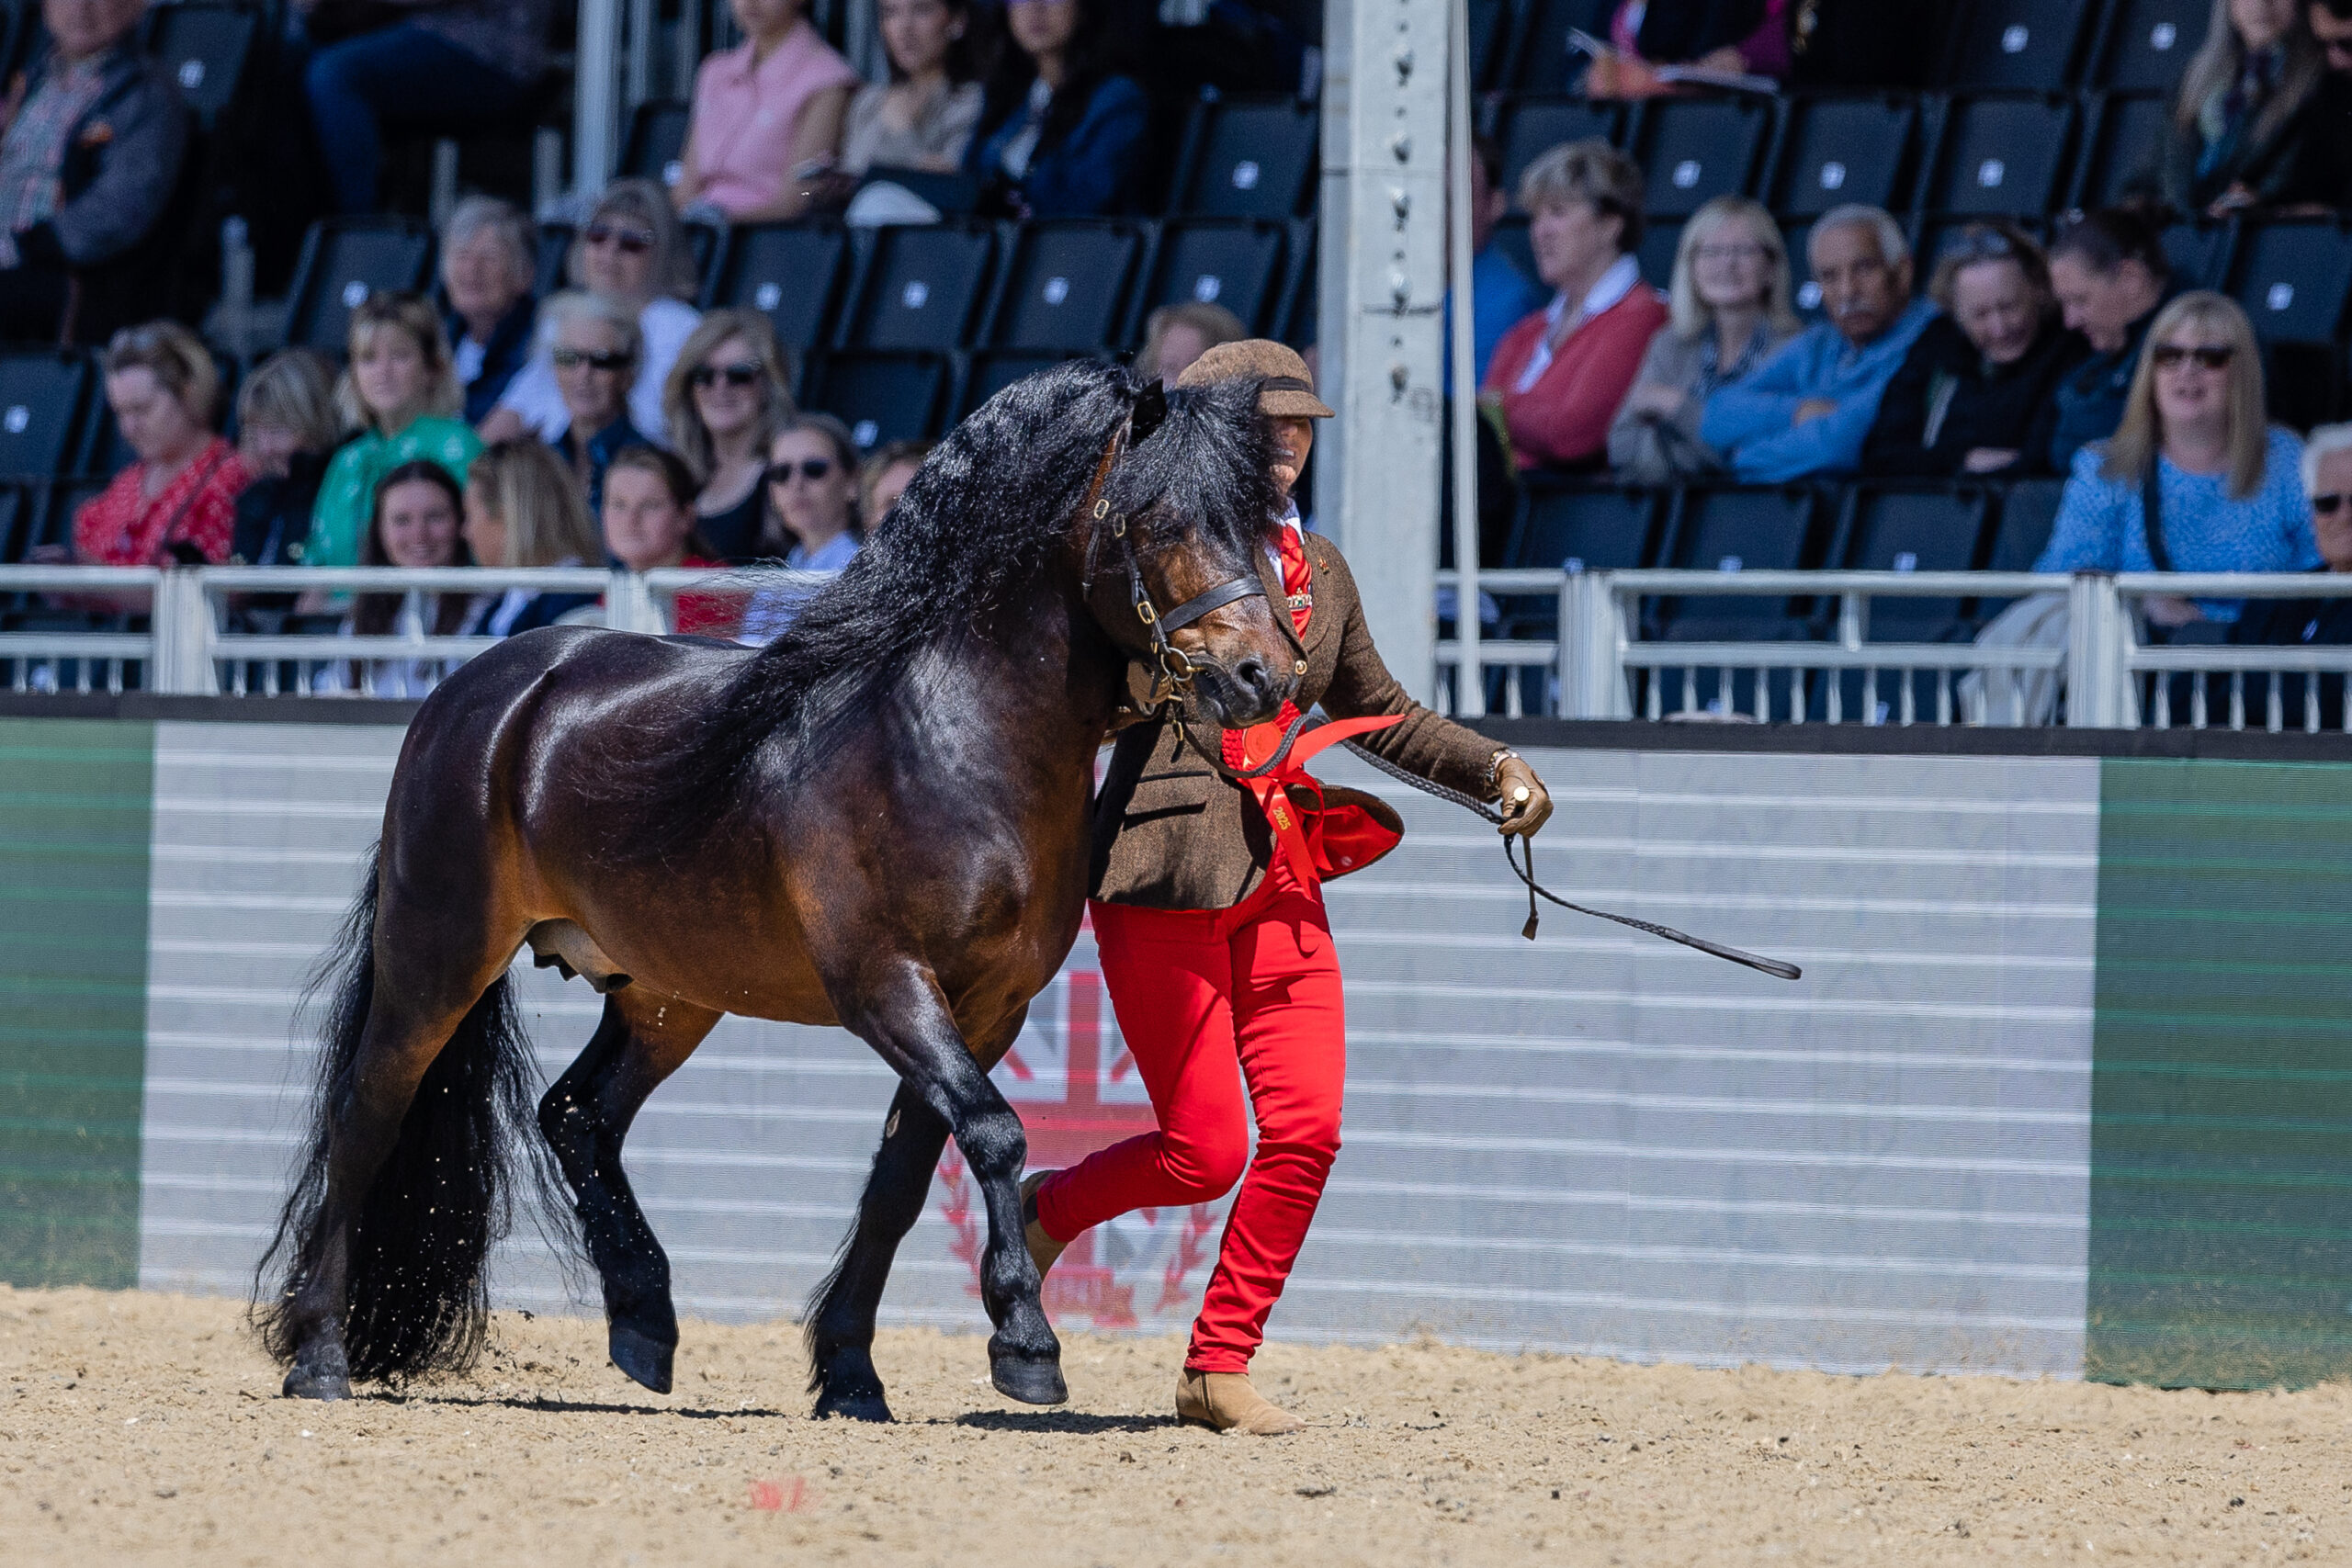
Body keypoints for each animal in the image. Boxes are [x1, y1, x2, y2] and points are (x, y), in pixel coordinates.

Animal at [254, 361, 1300, 1419]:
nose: (1264, 676)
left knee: (577, 1115)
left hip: (667, 994)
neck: (950, 740)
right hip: (440, 956)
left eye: (1261, 521)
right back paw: (320, 1355)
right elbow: (997, 1133)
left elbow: (904, 1180)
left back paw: (644, 1320)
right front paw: (1025, 1341)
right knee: (367, 1115)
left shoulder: (988, 1007)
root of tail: (478, 692)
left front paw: (852, 1376)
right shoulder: (886, 984)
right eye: (1161, 519)